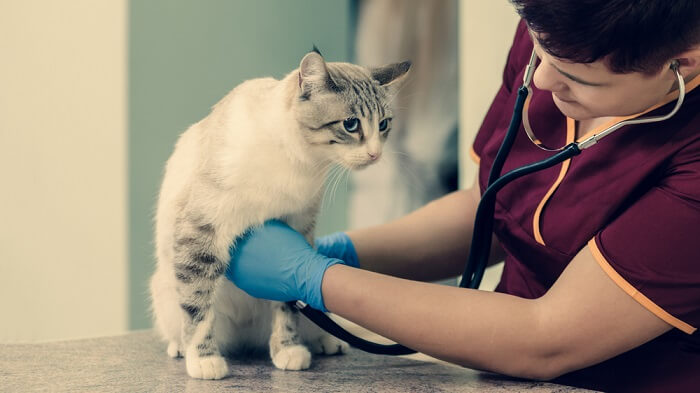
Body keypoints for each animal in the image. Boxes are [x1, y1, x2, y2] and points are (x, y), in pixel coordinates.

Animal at [148, 47, 410, 378]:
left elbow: (287, 304)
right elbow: (198, 305)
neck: (300, 164)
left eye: (384, 124)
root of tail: (246, 339)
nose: (376, 154)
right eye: (351, 125)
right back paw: (180, 349)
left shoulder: (297, 230)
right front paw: (204, 360)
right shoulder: (202, 231)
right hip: (164, 290)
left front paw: (288, 350)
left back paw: (327, 343)